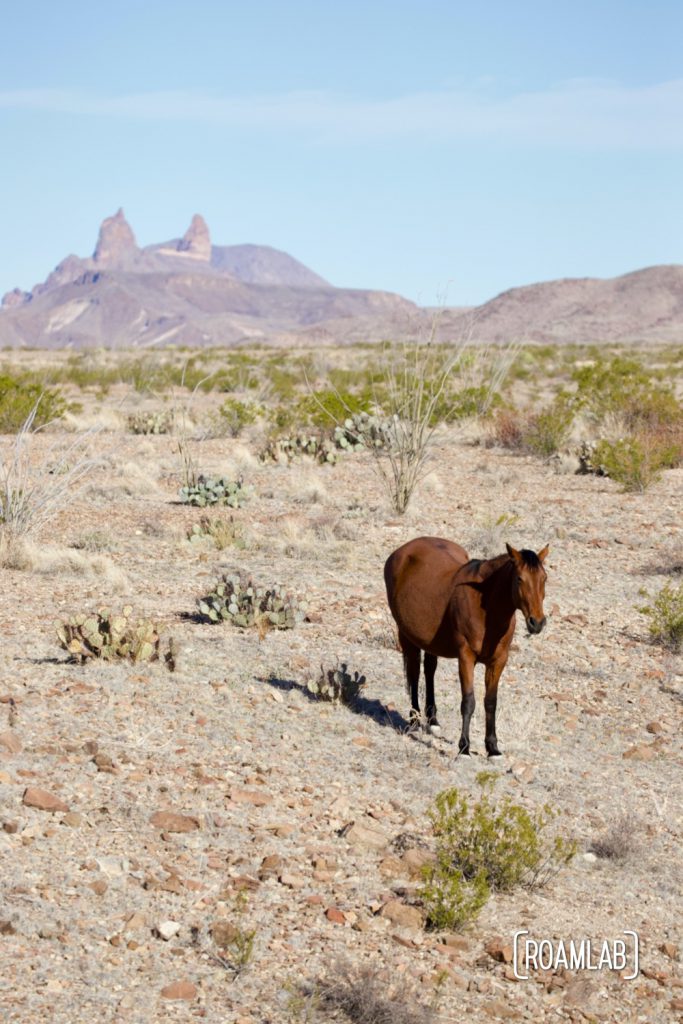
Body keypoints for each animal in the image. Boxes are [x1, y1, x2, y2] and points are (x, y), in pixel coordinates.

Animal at [385, 540, 548, 757]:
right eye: (520, 579)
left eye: (544, 578)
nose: (537, 622)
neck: (486, 607)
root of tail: (401, 551)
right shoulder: (466, 657)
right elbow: (468, 701)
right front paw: (464, 747)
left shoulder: (498, 661)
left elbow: (491, 702)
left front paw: (493, 748)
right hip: (406, 635)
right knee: (414, 673)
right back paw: (413, 721)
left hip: (430, 642)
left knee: (429, 670)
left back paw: (433, 721)